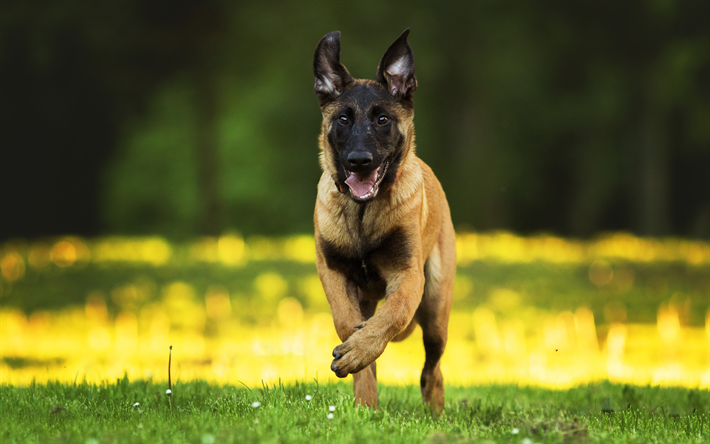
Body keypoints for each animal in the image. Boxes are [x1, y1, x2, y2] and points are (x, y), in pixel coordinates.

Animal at [314, 28, 458, 412]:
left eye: (382, 120)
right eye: (343, 119)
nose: (359, 160)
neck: (363, 212)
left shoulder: (407, 276)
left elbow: (393, 314)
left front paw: (358, 351)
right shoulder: (333, 272)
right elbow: (347, 321)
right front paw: (357, 364)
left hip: (436, 310)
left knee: (433, 369)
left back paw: (435, 412)